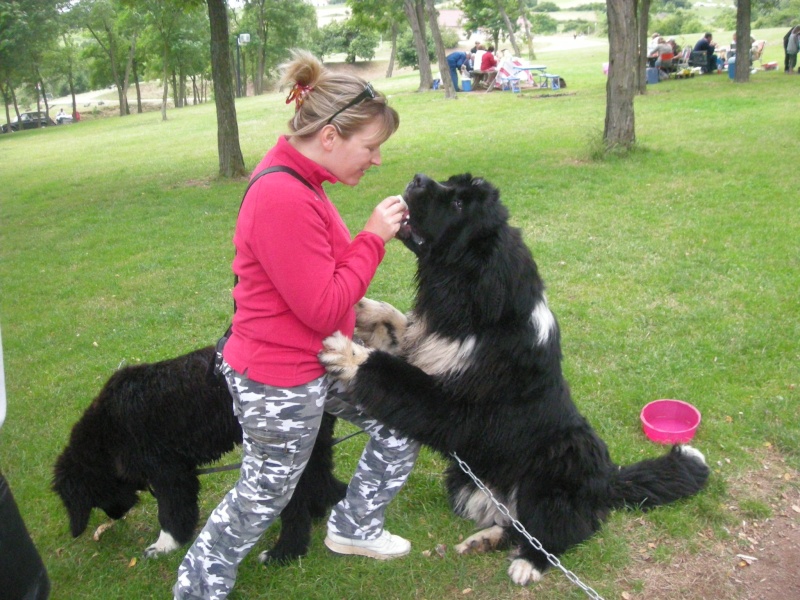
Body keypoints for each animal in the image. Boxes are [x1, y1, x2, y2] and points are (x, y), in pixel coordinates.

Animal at [51, 346, 346, 564]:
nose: (115, 515)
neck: (108, 431)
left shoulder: (169, 473)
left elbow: (171, 511)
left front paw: (164, 545)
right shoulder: (178, 471)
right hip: (313, 447)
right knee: (323, 479)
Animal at [322, 173, 708, 584]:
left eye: (458, 204)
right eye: (449, 184)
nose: (418, 178)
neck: (474, 313)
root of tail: (607, 478)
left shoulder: (452, 406)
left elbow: (393, 374)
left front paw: (347, 353)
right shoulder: (426, 349)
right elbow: (398, 325)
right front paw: (364, 309)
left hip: (560, 461)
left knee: (561, 528)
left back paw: (528, 563)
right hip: (464, 480)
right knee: (513, 523)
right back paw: (483, 540)